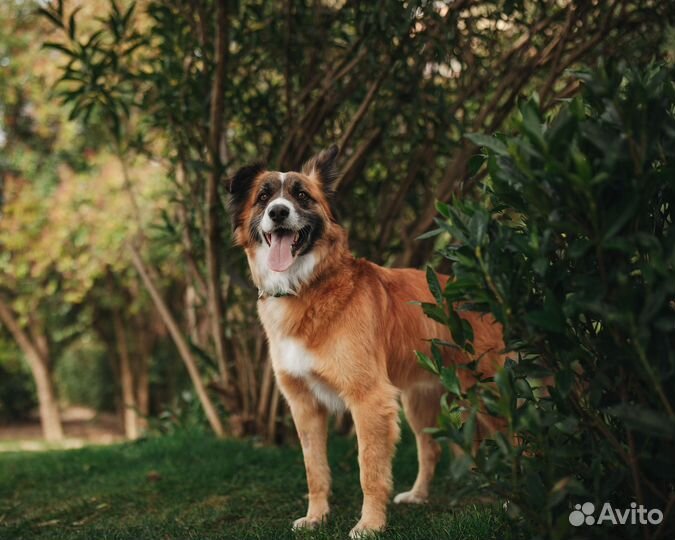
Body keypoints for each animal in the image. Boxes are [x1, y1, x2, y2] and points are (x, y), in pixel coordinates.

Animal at [230, 146, 504, 536]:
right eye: (263, 197)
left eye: (302, 196)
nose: (278, 212)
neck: (307, 287)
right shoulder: (304, 404)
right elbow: (314, 469)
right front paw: (316, 517)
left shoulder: (369, 399)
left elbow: (370, 469)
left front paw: (371, 524)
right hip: (420, 400)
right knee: (430, 448)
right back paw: (418, 495)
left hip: (491, 392)